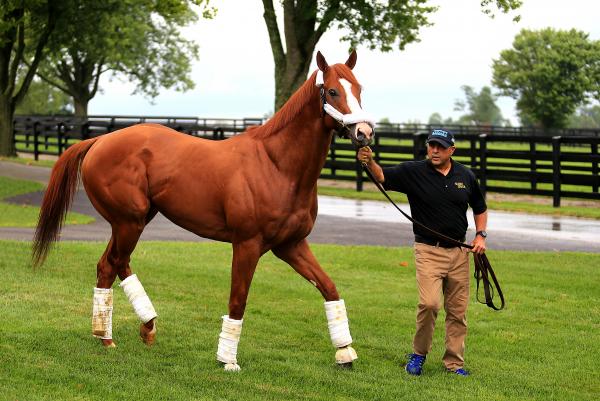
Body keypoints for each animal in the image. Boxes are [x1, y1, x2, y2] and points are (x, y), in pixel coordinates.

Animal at [31, 51, 376, 370]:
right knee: (110, 265)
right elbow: (238, 300)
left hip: (134, 221)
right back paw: (109, 336)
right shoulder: (247, 245)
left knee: (116, 264)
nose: (364, 132)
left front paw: (345, 352)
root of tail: (100, 140)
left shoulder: (291, 245)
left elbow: (329, 288)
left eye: (359, 88)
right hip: (129, 221)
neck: (276, 166)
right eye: (332, 91)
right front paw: (228, 361)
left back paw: (141, 327)